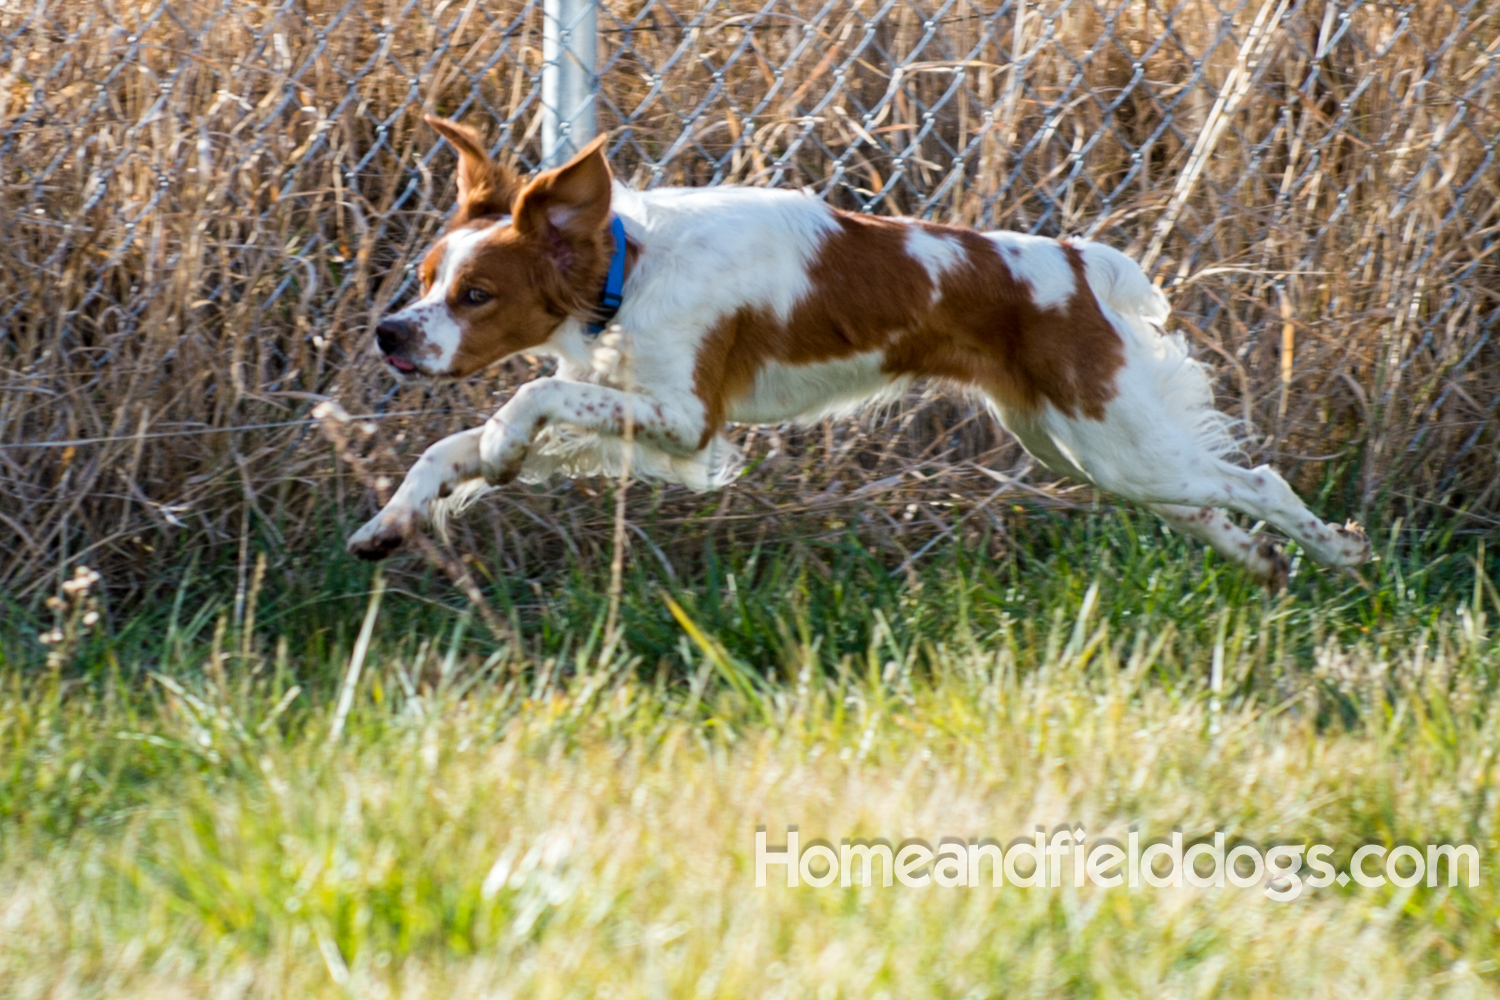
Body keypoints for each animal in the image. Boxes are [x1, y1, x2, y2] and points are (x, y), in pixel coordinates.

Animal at [348, 115, 1374, 593]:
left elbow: (518, 410)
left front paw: (496, 453)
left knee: (1257, 481)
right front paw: (392, 523)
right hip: (1081, 445)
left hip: (1109, 435)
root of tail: (1077, 261)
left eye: (476, 296)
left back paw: (1341, 552)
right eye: (426, 276)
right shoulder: (633, 412)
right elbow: (454, 449)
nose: (390, 333)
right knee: (1205, 504)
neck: (626, 275)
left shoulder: (688, 420)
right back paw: (1263, 565)